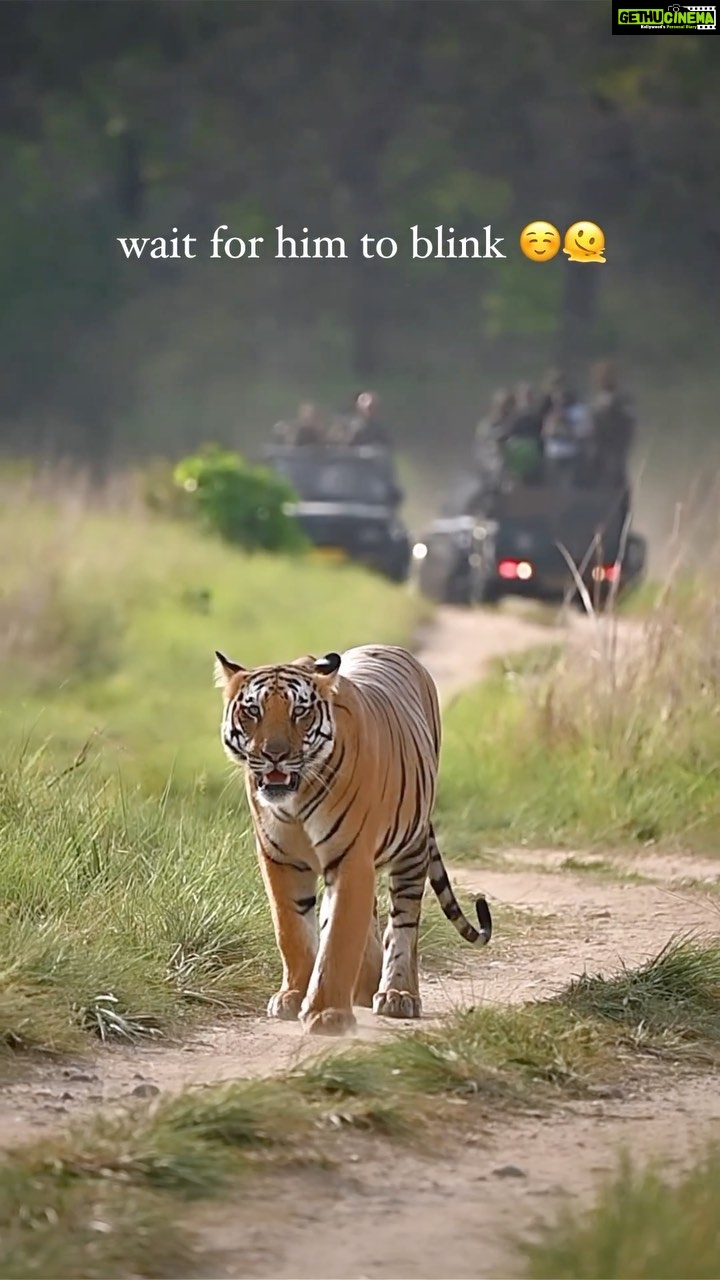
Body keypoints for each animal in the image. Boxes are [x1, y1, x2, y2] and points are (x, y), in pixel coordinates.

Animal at [214, 643, 492, 1036]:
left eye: (300, 712)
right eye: (253, 710)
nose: (274, 755)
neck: (294, 801)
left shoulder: (350, 858)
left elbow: (340, 936)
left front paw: (327, 1014)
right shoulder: (279, 859)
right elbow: (291, 930)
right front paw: (293, 997)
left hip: (411, 849)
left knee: (403, 925)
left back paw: (398, 994)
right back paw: (365, 987)